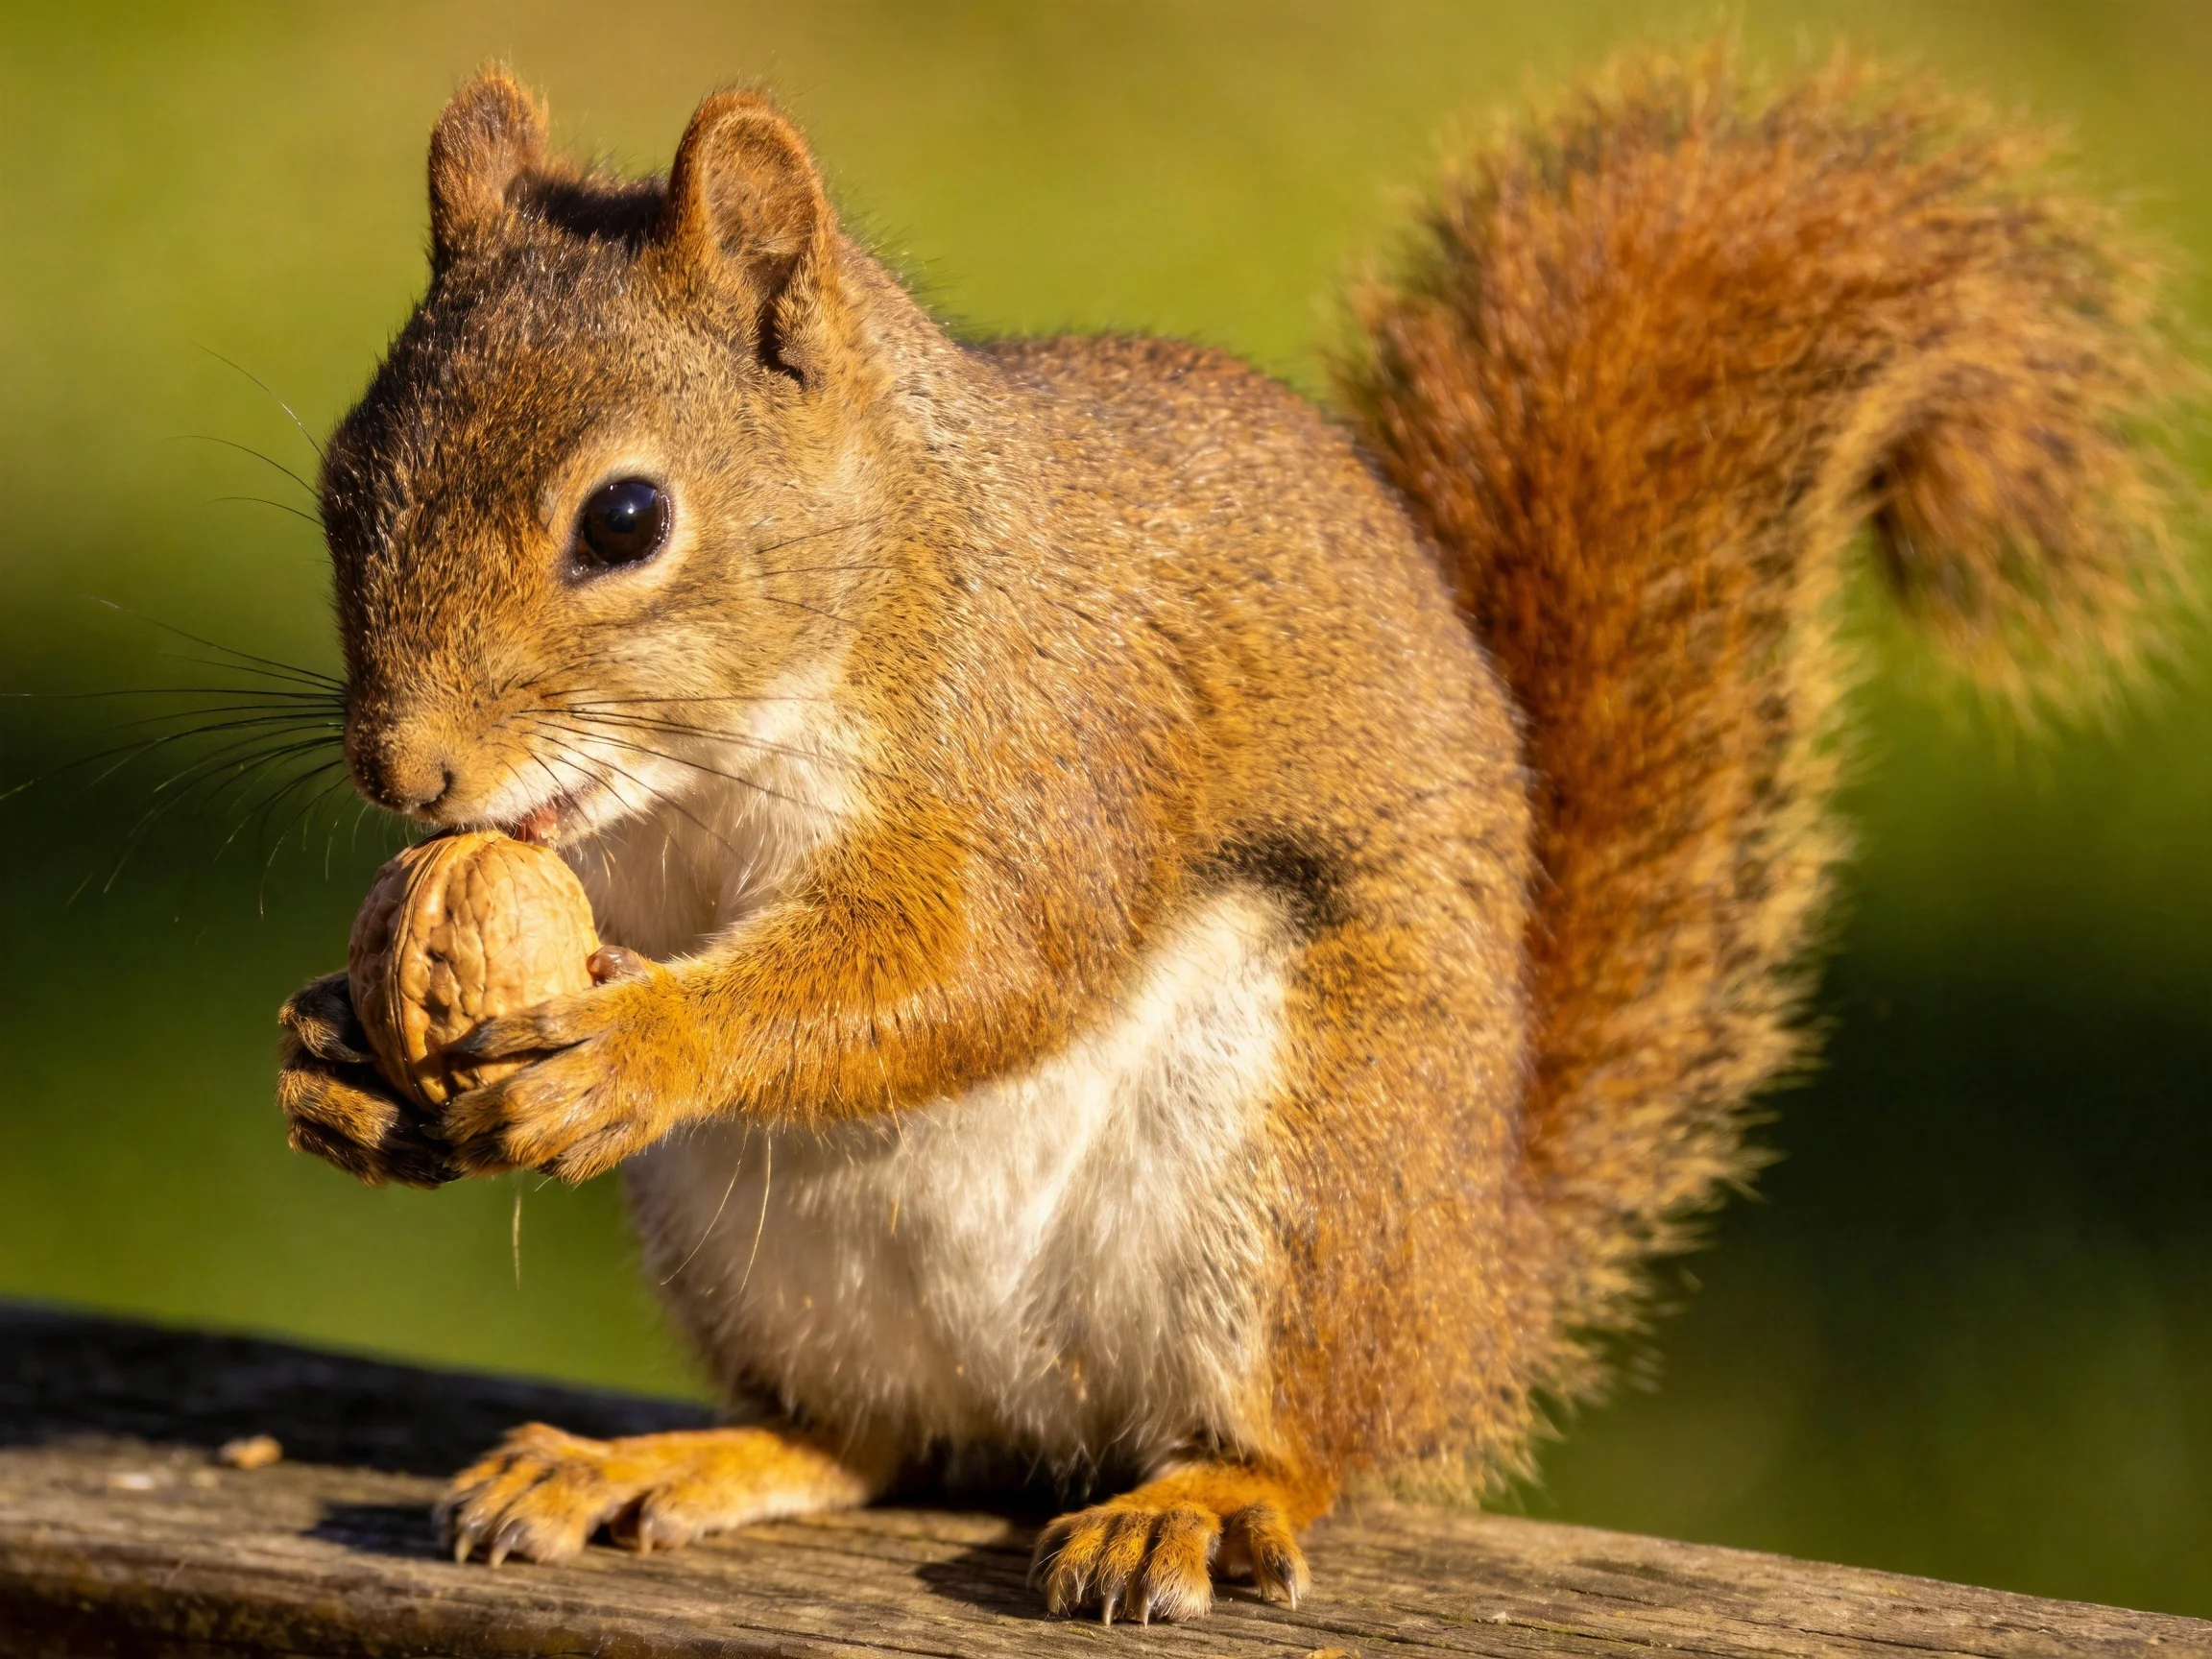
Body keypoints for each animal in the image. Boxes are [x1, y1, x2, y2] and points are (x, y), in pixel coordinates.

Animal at [273, 50, 2190, 1622]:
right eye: (341, 478)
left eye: (624, 518)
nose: (402, 770)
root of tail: (1473, 1290)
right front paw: (336, 1055)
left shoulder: (1051, 746)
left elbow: (986, 963)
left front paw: (647, 1041)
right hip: (767, 1272)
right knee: (872, 1442)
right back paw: (659, 1461)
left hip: (1307, 1168)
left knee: (1296, 1434)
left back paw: (1195, 1499)